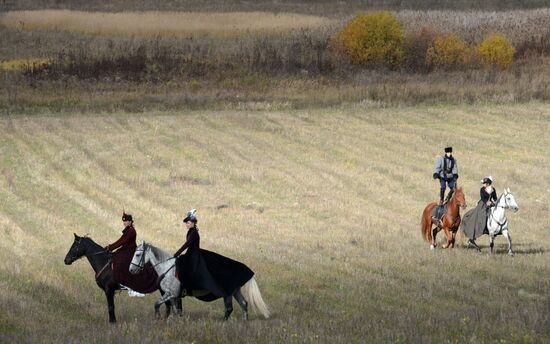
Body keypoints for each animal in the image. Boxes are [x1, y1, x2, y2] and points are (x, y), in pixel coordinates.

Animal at [130, 242, 272, 320]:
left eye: (138, 254)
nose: (131, 270)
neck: (167, 268)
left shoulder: (171, 293)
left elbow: (157, 304)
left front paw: (159, 318)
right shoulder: (173, 295)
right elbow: (176, 309)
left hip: (228, 293)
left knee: (229, 308)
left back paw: (222, 322)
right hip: (235, 291)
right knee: (243, 304)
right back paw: (244, 321)